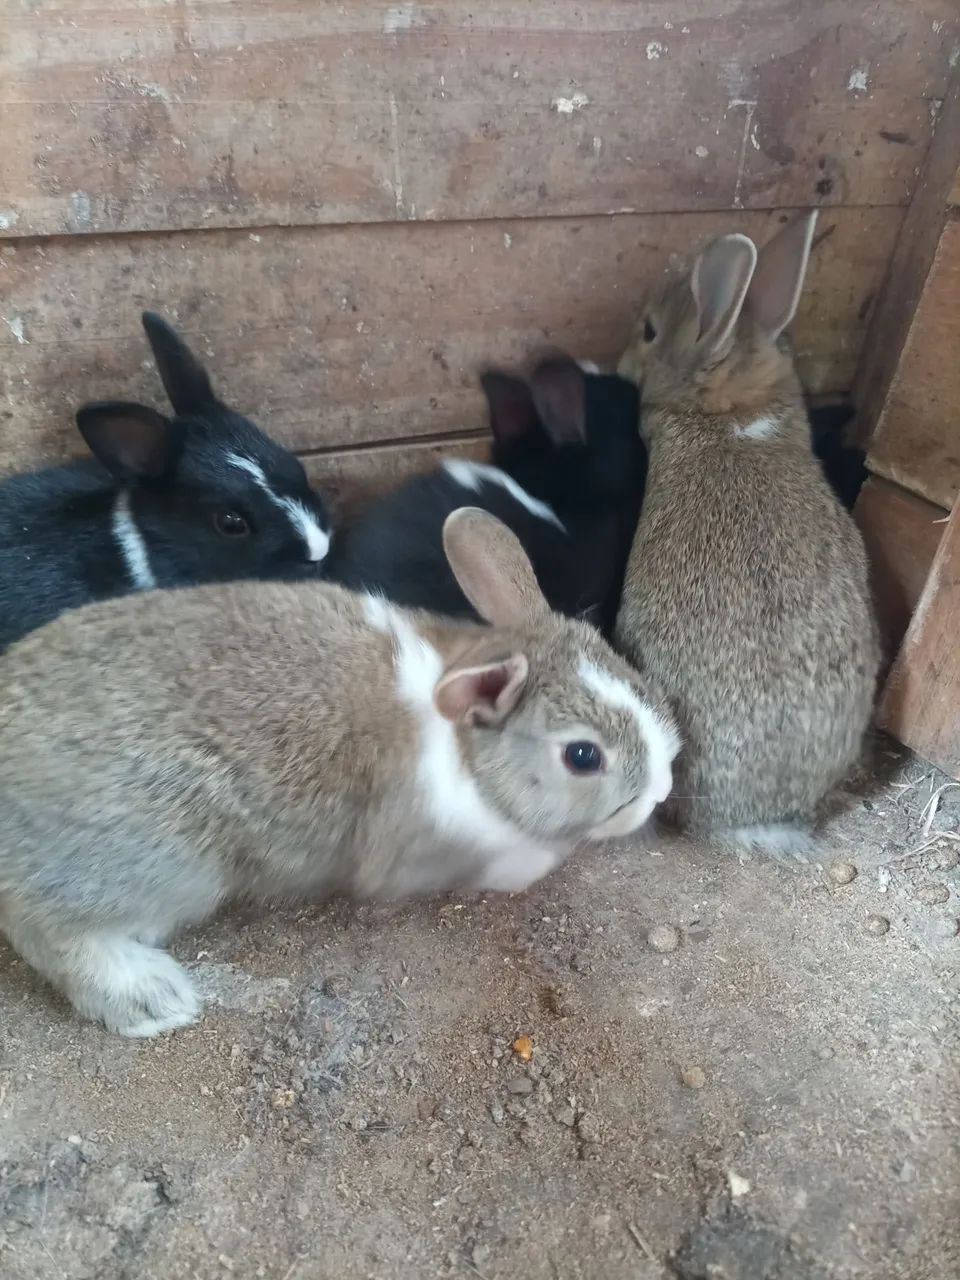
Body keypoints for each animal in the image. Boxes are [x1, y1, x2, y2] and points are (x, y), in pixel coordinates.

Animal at [0, 506, 679, 1036]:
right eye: (583, 756)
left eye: (631, 674)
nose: (662, 788)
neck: (465, 749)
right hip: (158, 864)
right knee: (47, 928)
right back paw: (152, 997)